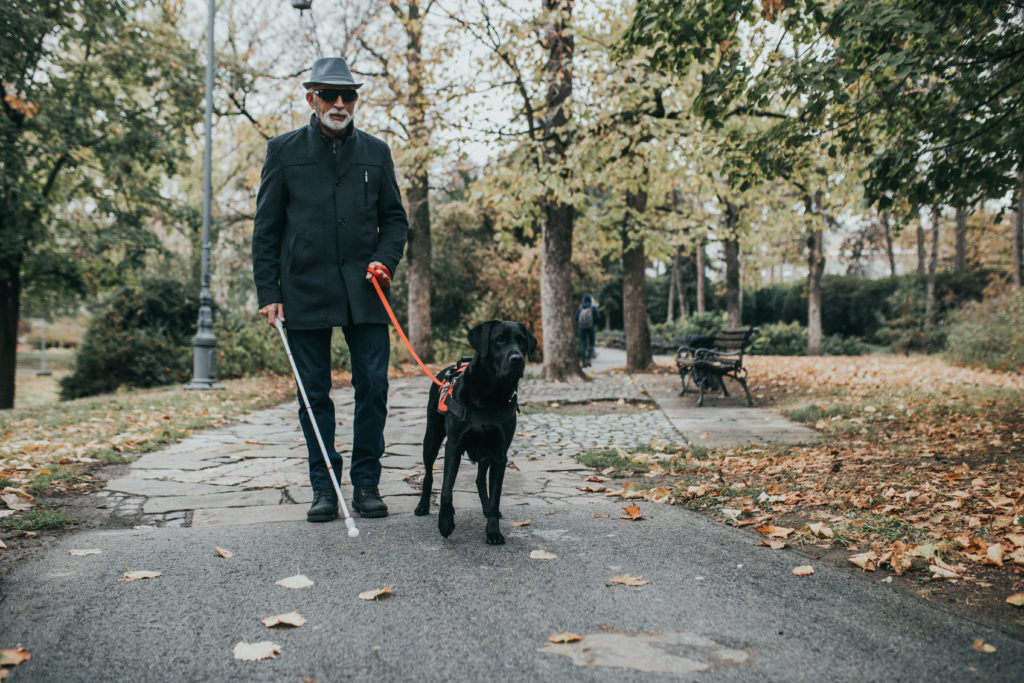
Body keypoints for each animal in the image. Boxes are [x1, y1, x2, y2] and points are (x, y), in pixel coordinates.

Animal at [415, 321, 540, 544]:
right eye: (500, 340)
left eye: (522, 342)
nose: (517, 359)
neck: (490, 394)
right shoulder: (453, 447)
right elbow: (446, 489)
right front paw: (445, 522)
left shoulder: (499, 454)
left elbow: (496, 495)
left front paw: (493, 530)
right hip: (431, 439)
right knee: (429, 474)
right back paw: (423, 505)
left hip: (485, 453)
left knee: (481, 480)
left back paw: (486, 509)